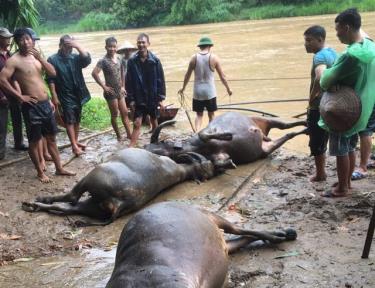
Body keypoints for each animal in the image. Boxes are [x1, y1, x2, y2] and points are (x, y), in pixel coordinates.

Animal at [22, 148, 222, 225]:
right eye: (206, 169)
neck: (179, 170)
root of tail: (119, 203)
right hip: (93, 207)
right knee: (66, 207)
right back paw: (36, 205)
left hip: (91, 178)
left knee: (70, 198)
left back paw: (33, 203)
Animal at [106, 200, 296, 288]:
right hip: (223, 246)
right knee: (238, 240)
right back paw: (281, 235)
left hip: (212, 216)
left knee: (239, 229)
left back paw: (283, 234)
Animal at [145, 111, 306, 165]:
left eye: (161, 143)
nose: (145, 149)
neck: (196, 146)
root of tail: (262, 133)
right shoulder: (218, 154)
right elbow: (219, 161)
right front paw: (229, 162)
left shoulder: (207, 130)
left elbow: (204, 134)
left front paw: (227, 135)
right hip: (266, 148)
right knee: (288, 134)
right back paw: (306, 129)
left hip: (263, 119)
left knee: (285, 125)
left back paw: (305, 123)